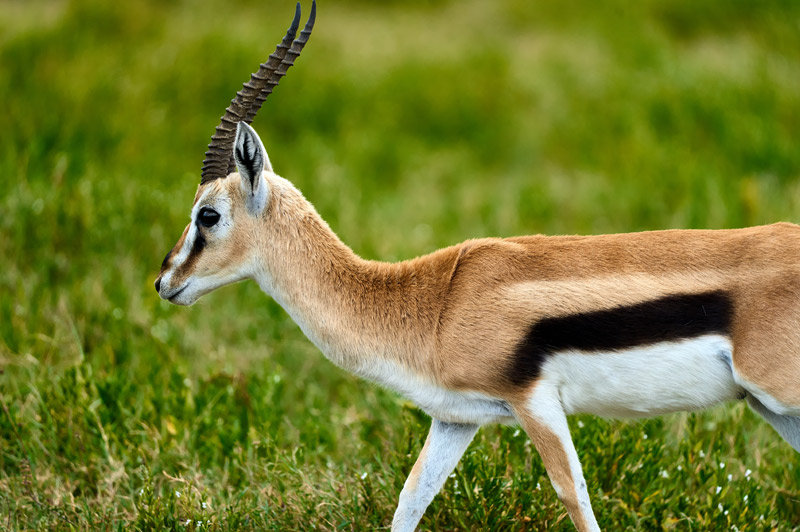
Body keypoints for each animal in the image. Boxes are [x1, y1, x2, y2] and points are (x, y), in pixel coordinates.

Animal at [155, 2, 800, 530]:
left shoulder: (534, 403)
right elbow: (410, 499)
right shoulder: (455, 419)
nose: (165, 282)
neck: (436, 302)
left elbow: (575, 496)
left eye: (207, 215)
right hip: (771, 408)